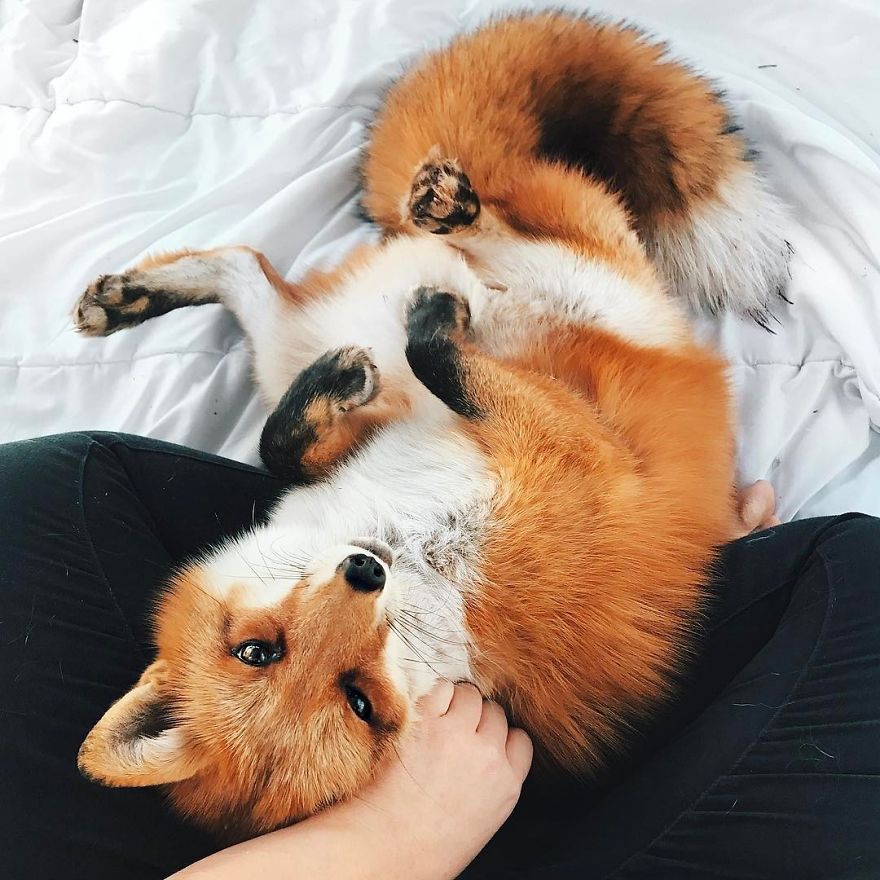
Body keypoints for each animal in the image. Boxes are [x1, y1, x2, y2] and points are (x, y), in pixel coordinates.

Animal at [73, 11, 789, 841]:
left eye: (257, 652)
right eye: (360, 702)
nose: (363, 572)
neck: (419, 548)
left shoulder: (487, 439)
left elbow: (287, 439)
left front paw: (355, 376)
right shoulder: (546, 445)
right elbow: (381, 383)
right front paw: (413, 338)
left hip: (541, 277)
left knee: (299, 253)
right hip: (321, 336)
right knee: (252, 267)